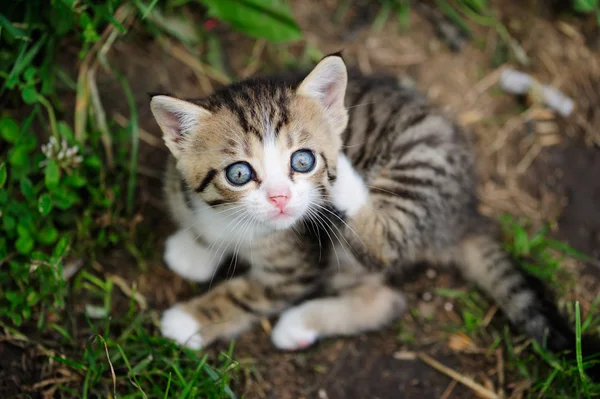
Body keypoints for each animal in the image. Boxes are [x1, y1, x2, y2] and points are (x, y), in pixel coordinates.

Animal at [151, 52, 600, 372]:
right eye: (239, 173)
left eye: (302, 161)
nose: (280, 197)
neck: (235, 223)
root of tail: (465, 212)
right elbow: (202, 230)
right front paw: (194, 250)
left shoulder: (296, 266)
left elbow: (247, 296)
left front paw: (191, 320)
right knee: (386, 297)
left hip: (412, 173)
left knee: (385, 269)